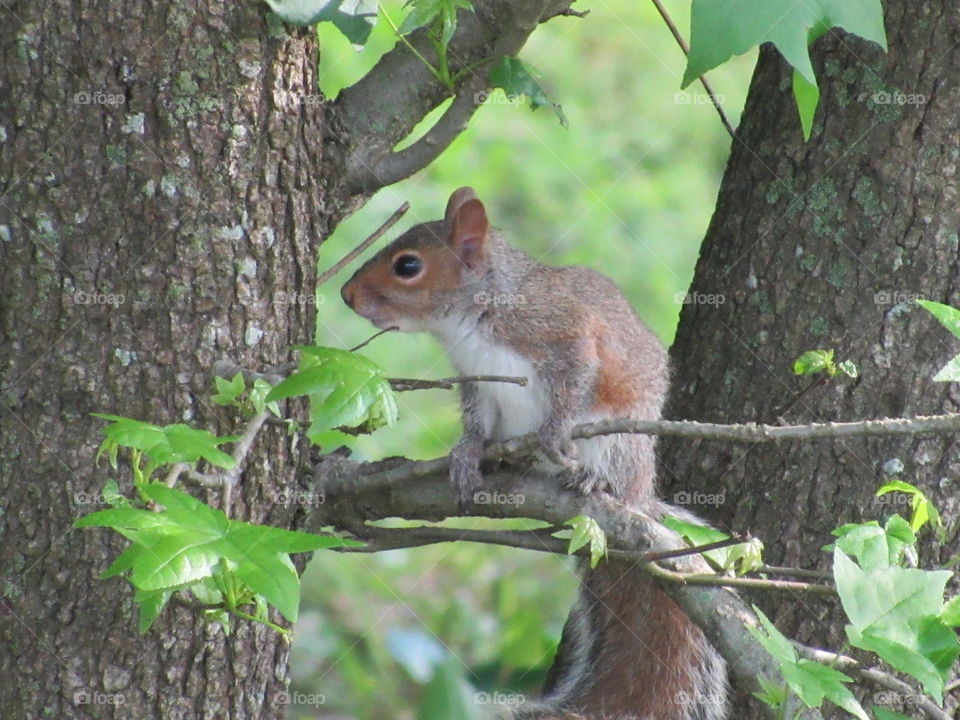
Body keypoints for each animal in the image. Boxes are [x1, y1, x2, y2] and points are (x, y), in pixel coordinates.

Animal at [341, 187, 728, 720]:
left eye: (407, 265)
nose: (346, 295)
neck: (473, 321)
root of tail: (641, 499)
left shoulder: (565, 338)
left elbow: (571, 387)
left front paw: (551, 435)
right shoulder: (478, 382)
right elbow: (475, 424)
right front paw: (467, 454)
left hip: (619, 442)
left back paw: (591, 480)